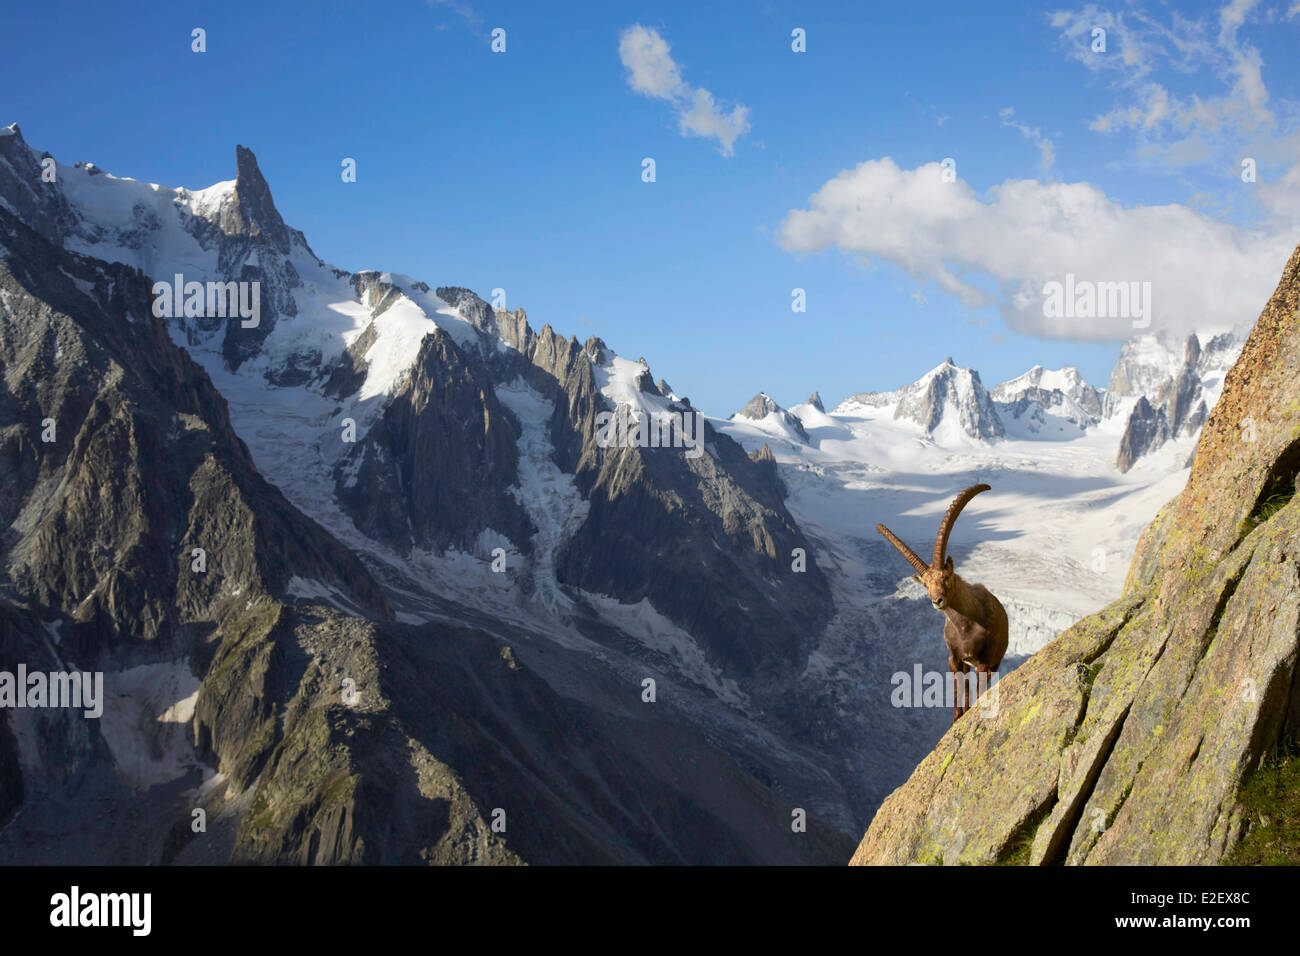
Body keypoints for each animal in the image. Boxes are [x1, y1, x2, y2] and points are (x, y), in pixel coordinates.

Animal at [876, 484, 1008, 723]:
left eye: (945, 577)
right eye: (925, 585)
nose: (936, 600)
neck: (966, 626)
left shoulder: (985, 660)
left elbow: (978, 690)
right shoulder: (954, 659)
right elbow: (959, 692)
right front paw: (957, 719)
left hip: (994, 661)